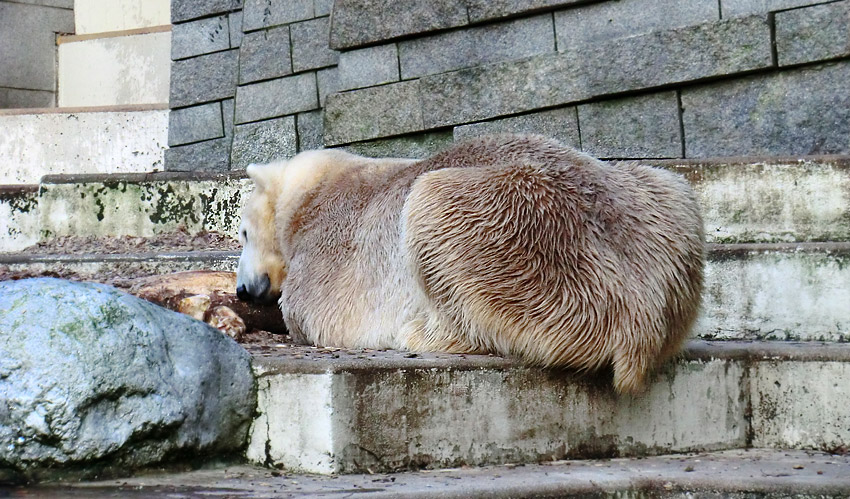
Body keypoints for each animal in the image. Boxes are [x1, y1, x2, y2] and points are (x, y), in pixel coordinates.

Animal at [234, 136, 704, 394]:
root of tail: (642, 320)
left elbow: (309, 312)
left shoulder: (328, 239)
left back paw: (421, 332)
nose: (243, 289)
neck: (310, 193)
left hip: (520, 228)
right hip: (663, 206)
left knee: (432, 202)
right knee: (667, 184)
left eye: (240, 232)